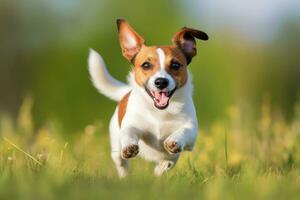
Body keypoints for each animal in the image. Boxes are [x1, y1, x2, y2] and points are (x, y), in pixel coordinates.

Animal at [88, 18, 207, 177]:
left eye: (175, 65)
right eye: (146, 65)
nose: (161, 82)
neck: (160, 112)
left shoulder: (191, 131)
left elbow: (184, 131)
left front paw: (174, 141)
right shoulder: (132, 125)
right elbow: (129, 132)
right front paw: (129, 146)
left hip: (172, 159)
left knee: (165, 164)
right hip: (116, 150)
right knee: (122, 164)